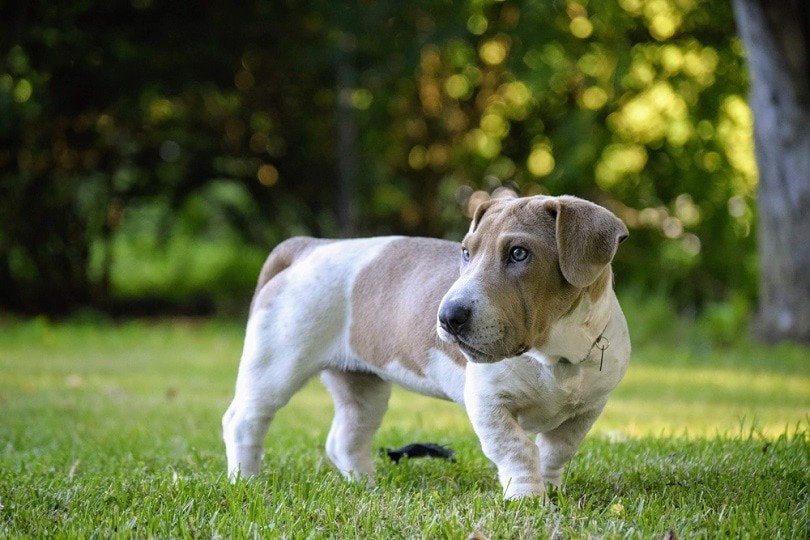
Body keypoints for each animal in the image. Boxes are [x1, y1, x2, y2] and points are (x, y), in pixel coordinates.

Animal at [223, 192, 632, 500]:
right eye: (466, 252)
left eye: (519, 253)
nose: (448, 316)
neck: (553, 355)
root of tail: (308, 247)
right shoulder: (489, 403)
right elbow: (517, 450)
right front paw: (527, 497)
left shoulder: (588, 409)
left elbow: (556, 450)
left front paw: (550, 488)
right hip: (276, 367)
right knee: (243, 422)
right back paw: (246, 481)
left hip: (362, 387)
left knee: (345, 439)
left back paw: (366, 486)